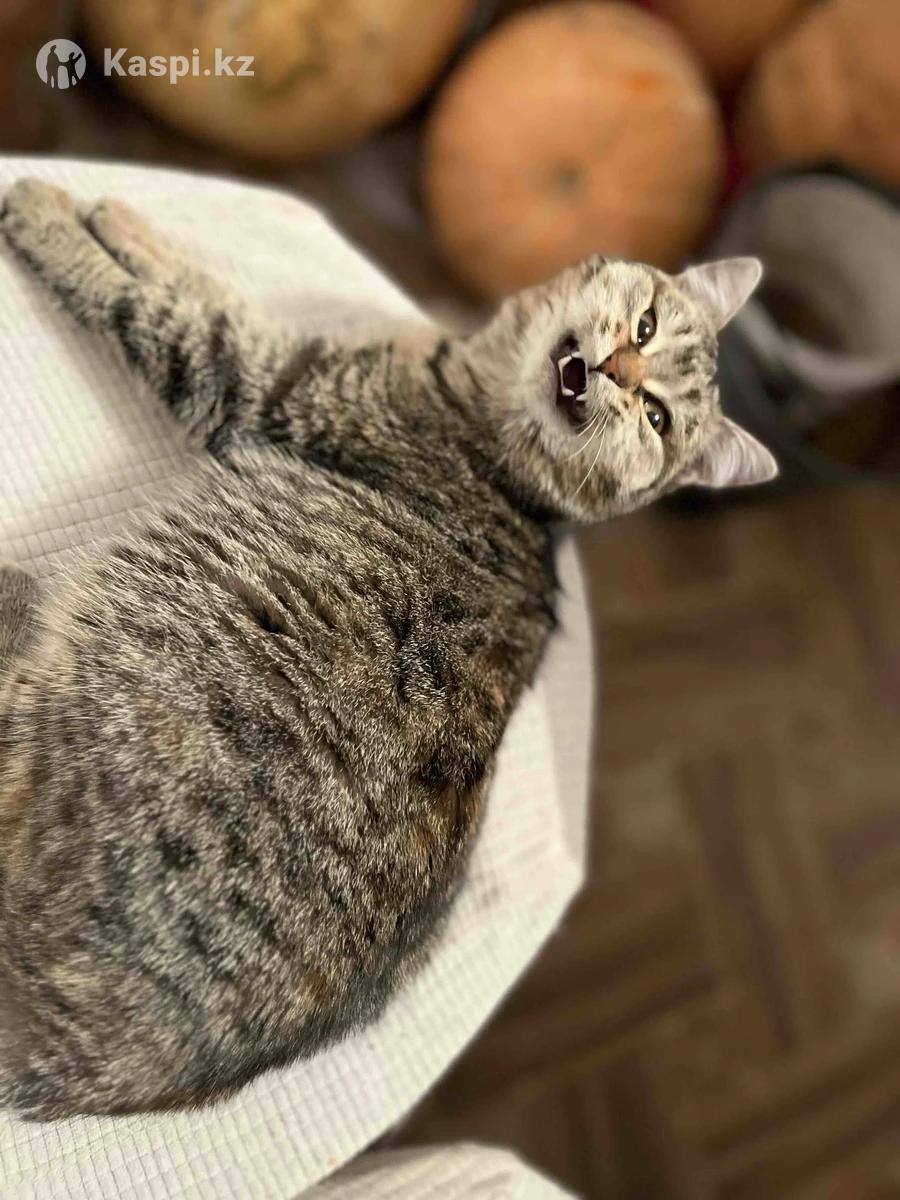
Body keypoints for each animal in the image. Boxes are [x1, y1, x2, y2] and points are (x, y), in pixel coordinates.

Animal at [0, 179, 776, 1120]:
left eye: (658, 418)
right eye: (647, 326)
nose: (621, 374)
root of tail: (75, 1067)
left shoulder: (261, 377)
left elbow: (170, 304)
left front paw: (57, 214)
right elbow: (187, 280)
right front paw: (115, 221)